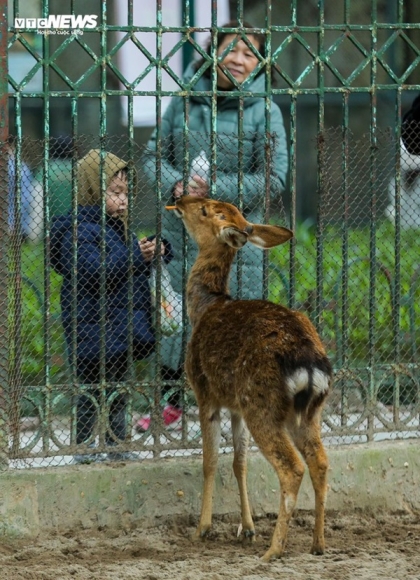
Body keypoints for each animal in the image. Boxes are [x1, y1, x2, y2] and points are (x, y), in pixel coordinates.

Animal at [166, 197, 334, 560]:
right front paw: (248, 528)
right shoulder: (236, 405)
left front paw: (203, 528)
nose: (180, 200)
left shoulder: (206, 393)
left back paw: (274, 550)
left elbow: (211, 460)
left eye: (205, 210)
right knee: (321, 462)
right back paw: (317, 543)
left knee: (293, 467)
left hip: (263, 404)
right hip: (307, 412)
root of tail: (310, 368)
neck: (204, 307)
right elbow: (239, 462)